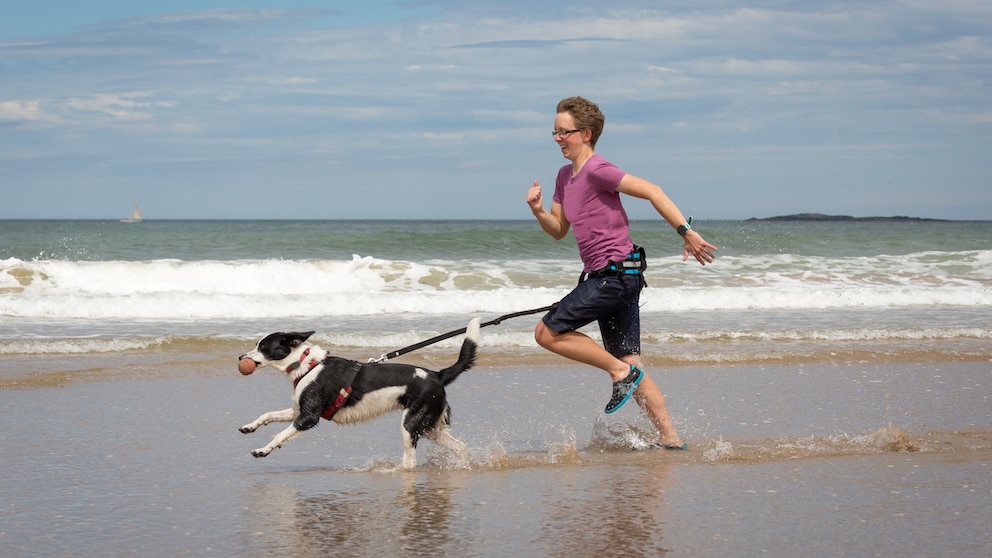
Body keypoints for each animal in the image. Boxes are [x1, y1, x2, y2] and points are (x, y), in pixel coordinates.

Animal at [236, 318, 476, 470]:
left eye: (263, 347)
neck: (308, 364)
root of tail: (437, 375)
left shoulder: (308, 417)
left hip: (411, 423)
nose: (240, 357)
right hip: (428, 427)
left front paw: (262, 450)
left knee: (410, 461)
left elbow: (280, 435)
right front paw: (249, 427)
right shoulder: (298, 411)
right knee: (461, 447)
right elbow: (267, 415)